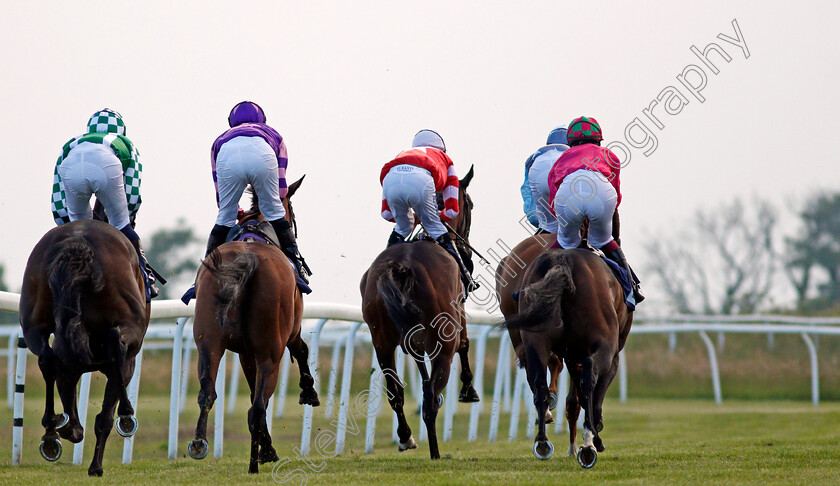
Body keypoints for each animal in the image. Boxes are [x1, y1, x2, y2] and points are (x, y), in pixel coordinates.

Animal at [20, 218, 149, 476]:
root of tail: (77, 242)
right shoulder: (128, 363)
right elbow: (104, 415)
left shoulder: (67, 363)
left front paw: (67, 428)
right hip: (127, 325)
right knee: (116, 347)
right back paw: (123, 418)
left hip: (33, 321)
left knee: (46, 359)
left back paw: (51, 432)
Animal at [187, 177, 318, 472]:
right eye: (292, 212)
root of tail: (246, 260)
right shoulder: (289, 333)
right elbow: (302, 351)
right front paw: (309, 392)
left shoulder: (246, 353)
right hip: (271, 352)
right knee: (257, 407)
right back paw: (255, 463)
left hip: (208, 343)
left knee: (207, 392)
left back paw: (200, 443)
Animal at [360, 165, 480, 458]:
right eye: (470, 205)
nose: (467, 251)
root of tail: (402, 268)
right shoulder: (456, 314)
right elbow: (465, 344)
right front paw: (469, 390)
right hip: (442, 344)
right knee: (431, 398)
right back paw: (435, 452)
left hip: (381, 342)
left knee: (396, 393)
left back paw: (406, 438)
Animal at [498, 247, 632, 468]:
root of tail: (562, 260)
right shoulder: (612, 356)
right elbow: (593, 396)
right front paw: (595, 437)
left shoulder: (571, 355)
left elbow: (575, 398)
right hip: (604, 346)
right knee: (590, 377)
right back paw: (588, 444)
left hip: (535, 341)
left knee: (538, 382)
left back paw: (542, 442)